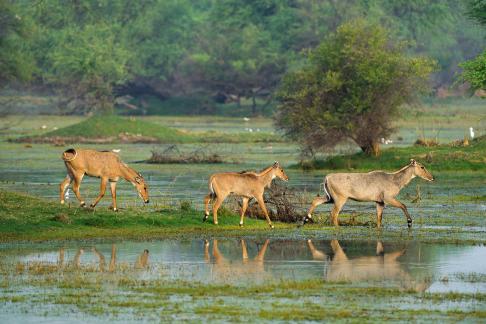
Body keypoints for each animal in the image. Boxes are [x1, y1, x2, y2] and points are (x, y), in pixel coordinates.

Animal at [306, 159, 434, 228]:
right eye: (422, 167)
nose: (432, 178)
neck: (395, 180)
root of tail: (327, 178)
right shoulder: (388, 198)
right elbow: (403, 205)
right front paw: (409, 222)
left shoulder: (379, 202)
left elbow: (379, 218)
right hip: (340, 198)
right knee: (334, 214)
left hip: (330, 198)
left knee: (316, 200)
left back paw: (306, 218)